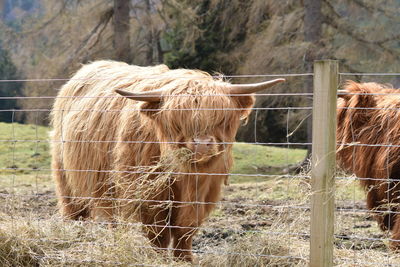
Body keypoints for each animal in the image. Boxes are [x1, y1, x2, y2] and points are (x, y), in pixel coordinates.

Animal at [50, 60, 284, 262]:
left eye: (221, 118)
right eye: (178, 120)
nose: (202, 144)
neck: (186, 175)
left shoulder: (205, 190)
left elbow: (185, 230)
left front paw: (185, 259)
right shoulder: (150, 192)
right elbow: (159, 231)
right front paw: (160, 259)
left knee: (112, 219)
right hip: (66, 177)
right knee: (76, 211)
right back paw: (73, 238)